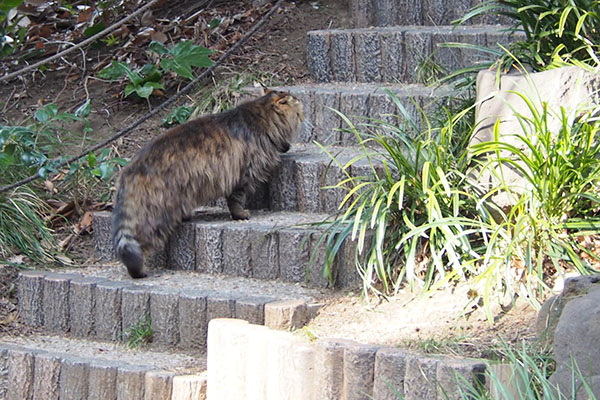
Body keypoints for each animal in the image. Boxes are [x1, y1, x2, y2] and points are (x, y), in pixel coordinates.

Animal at [112, 90, 304, 278]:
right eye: (298, 108)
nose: (302, 106)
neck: (258, 117)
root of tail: (129, 170)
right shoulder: (242, 174)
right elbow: (236, 200)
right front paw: (240, 214)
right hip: (157, 212)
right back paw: (140, 270)